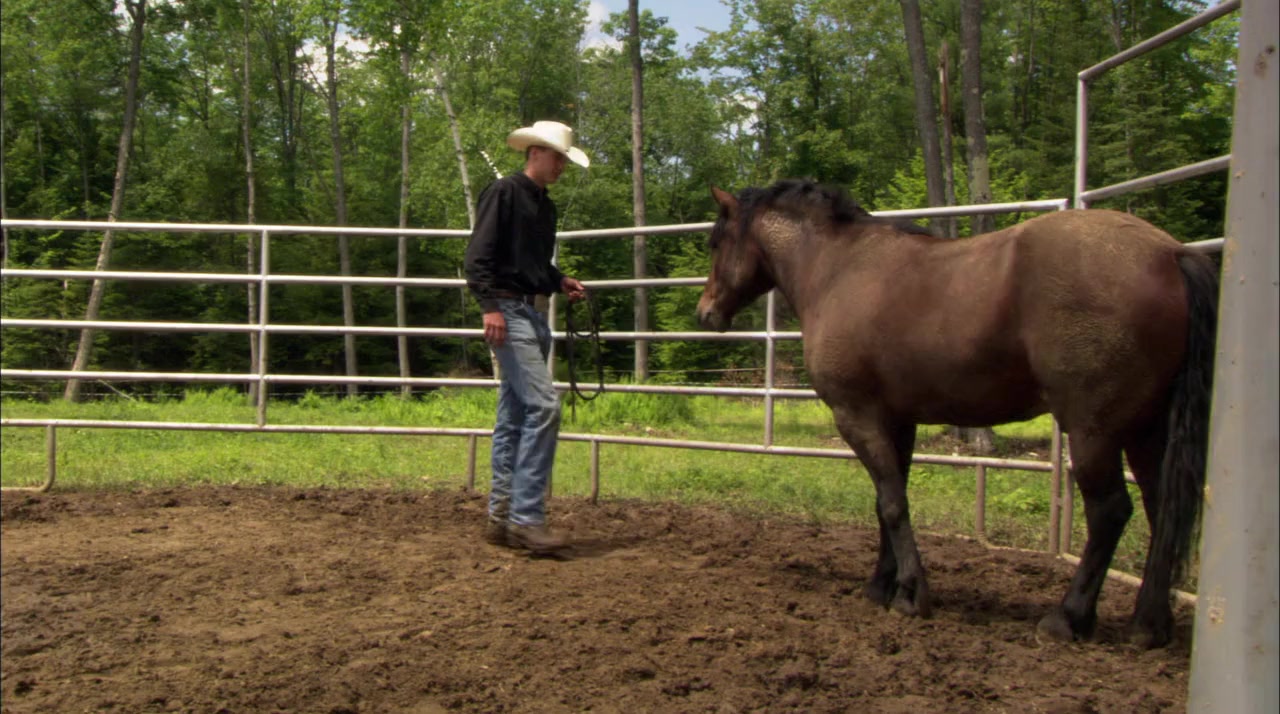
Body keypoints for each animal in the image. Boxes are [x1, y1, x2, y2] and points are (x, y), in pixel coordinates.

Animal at [696, 180, 1217, 648]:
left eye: (716, 242)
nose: (705, 313)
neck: (837, 269)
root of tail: (1170, 254)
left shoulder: (858, 417)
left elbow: (892, 503)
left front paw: (911, 594)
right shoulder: (896, 421)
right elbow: (889, 502)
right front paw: (882, 586)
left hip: (1095, 432)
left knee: (1111, 511)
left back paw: (1068, 618)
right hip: (1147, 431)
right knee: (1159, 509)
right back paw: (1148, 626)